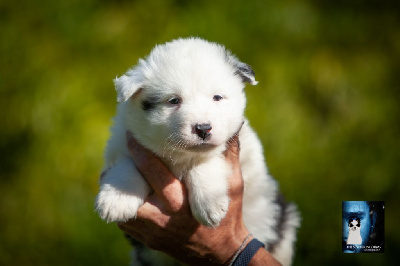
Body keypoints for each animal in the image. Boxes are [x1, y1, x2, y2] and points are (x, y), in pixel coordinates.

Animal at [94, 37, 300, 266]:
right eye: (174, 100)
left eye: (217, 97)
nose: (203, 128)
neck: (179, 155)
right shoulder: (125, 143)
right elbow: (126, 164)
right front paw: (118, 198)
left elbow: (205, 162)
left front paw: (210, 203)